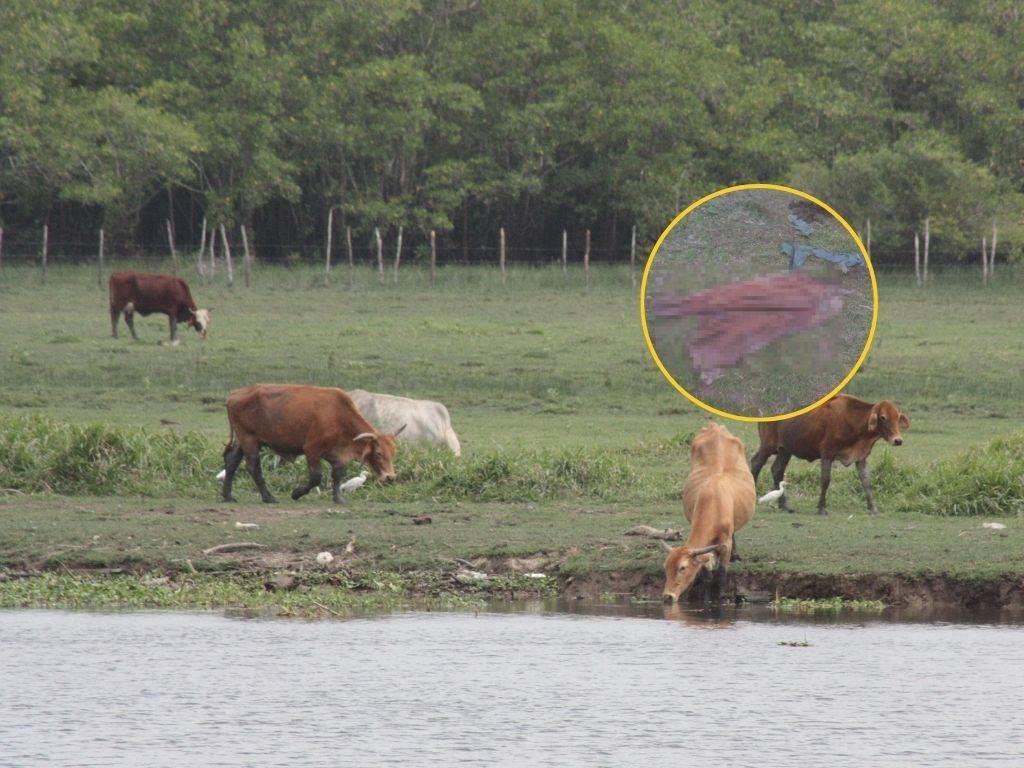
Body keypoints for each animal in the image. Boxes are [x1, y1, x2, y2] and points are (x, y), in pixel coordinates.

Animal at [222, 385, 405, 505]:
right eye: (379, 453)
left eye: (393, 453)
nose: (390, 477)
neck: (339, 415)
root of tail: (234, 395)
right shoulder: (311, 449)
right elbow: (316, 477)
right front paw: (296, 493)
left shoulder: (336, 454)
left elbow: (338, 475)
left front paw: (338, 498)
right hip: (249, 440)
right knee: (253, 467)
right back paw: (268, 497)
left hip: (243, 441)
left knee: (231, 462)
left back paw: (227, 496)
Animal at [659, 423, 757, 606]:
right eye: (665, 566)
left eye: (682, 568)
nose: (668, 596)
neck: (714, 500)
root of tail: (715, 426)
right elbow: (707, 577)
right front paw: (706, 600)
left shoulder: (724, 544)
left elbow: (720, 576)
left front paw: (718, 600)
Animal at [749, 397, 909, 518]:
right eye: (883, 417)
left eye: (897, 417)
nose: (898, 440)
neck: (853, 420)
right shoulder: (827, 454)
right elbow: (825, 481)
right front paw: (821, 508)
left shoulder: (860, 458)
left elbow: (866, 483)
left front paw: (873, 509)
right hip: (768, 446)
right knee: (756, 464)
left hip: (785, 450)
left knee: (777, 470)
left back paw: (785, 505)